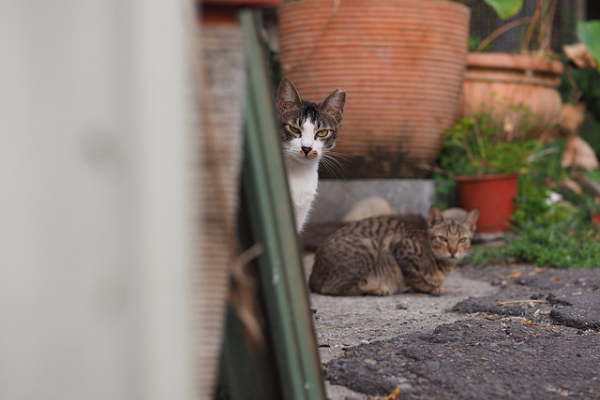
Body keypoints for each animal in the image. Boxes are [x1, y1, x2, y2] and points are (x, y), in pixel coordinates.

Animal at [310, 206, 478, 296]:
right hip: (369, 245)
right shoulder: (398, 245)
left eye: (462, 240)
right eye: (442, 238)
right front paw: (428, 287)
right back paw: (376, 289)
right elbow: (413, 275)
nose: (453, 251)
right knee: (332, 289)